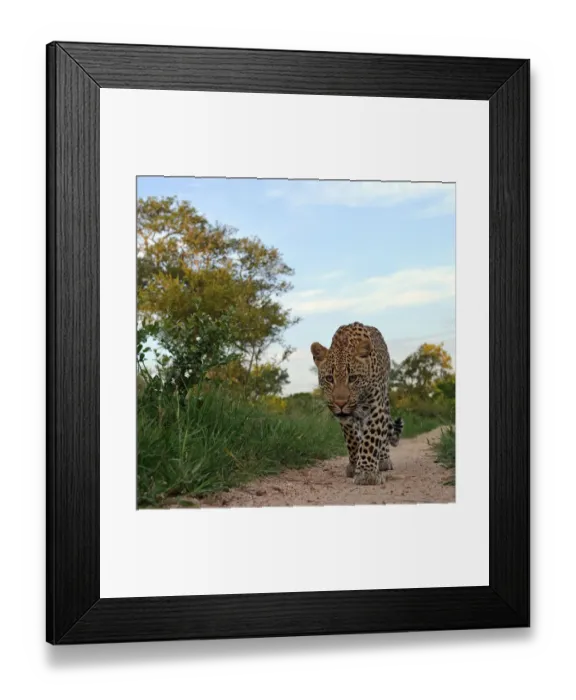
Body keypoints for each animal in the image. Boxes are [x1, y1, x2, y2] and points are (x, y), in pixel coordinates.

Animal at [311, 321, 404, 486]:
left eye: (353, 378)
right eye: (329, 378)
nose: (340, 403)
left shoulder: (375, 408)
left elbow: (372, 437)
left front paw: (367, 473)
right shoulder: (345, 419)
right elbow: (352, 439)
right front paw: (355, 465)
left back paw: (383, 460)